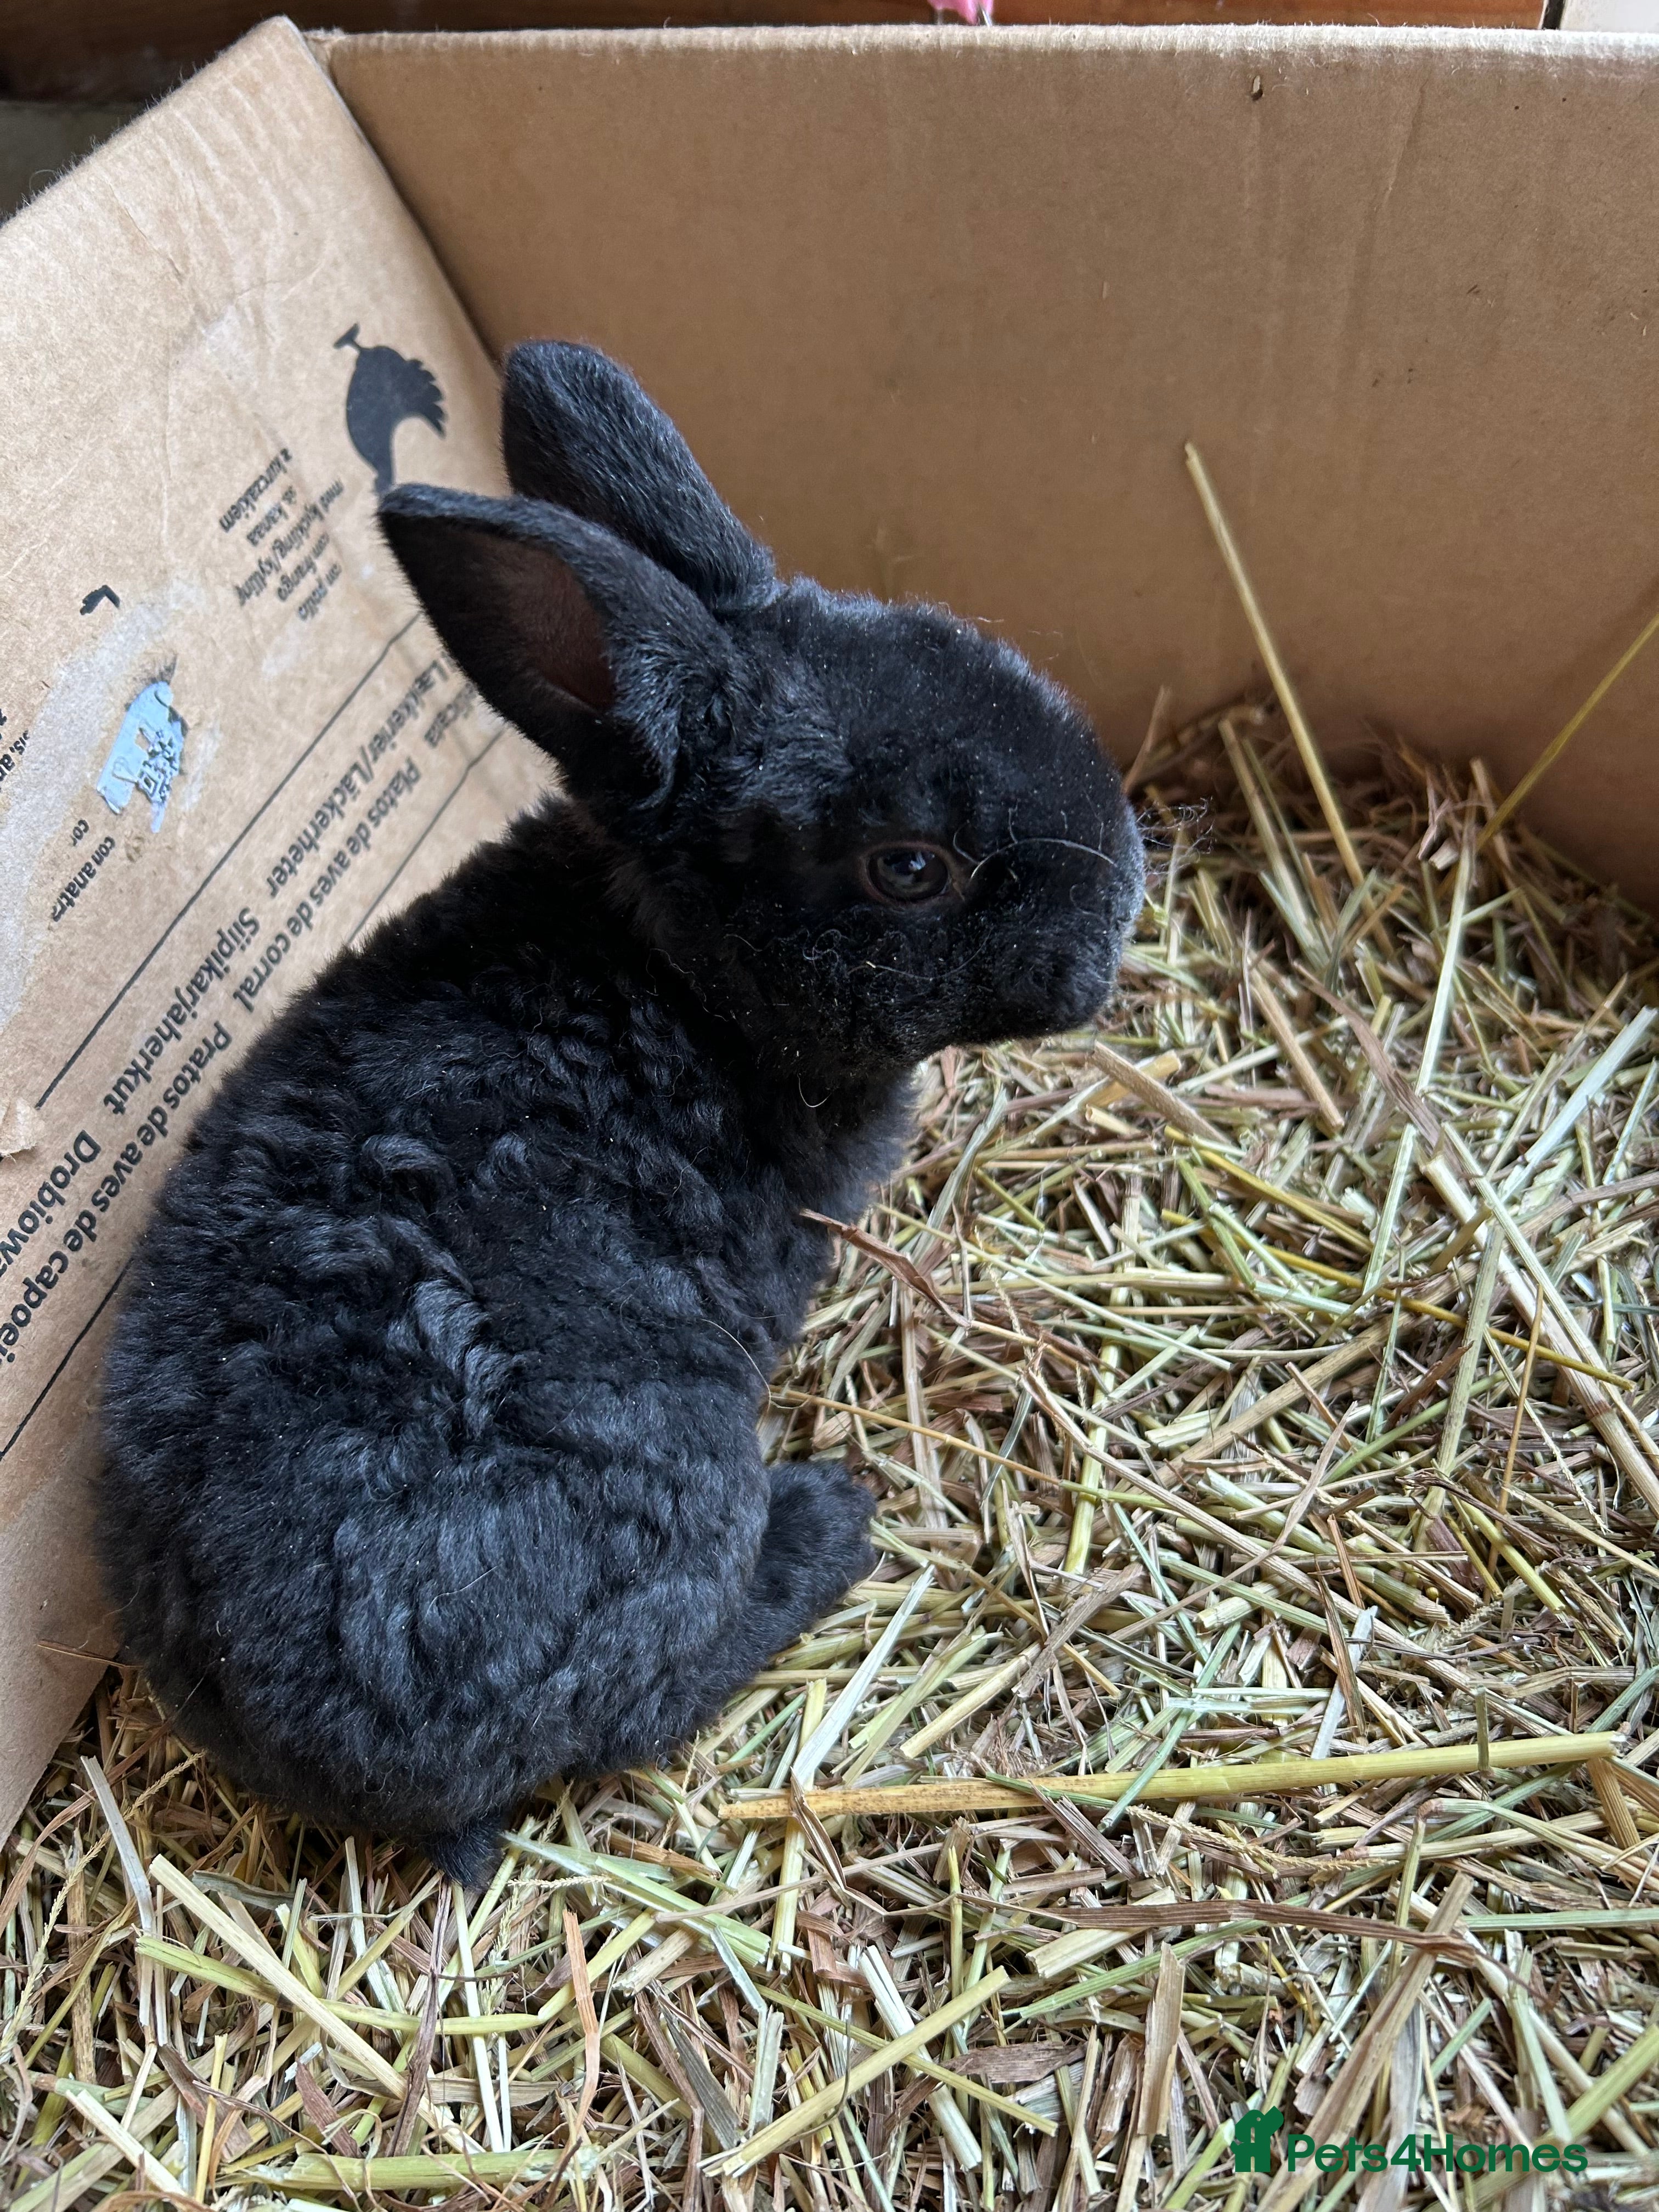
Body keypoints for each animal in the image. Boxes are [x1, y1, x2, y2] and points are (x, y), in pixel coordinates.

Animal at [97, 342, 1145, 1885]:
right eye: (911, 867)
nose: (1122, 911)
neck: (678, 967)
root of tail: (327, 1757)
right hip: (681, 1485)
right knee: (660, 1680)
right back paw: (829, 1520)